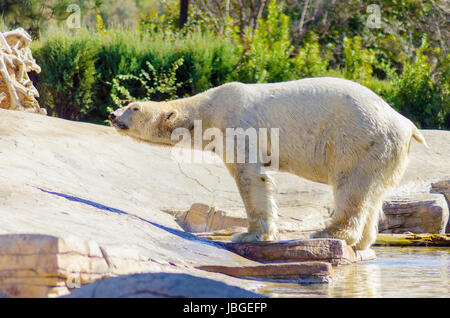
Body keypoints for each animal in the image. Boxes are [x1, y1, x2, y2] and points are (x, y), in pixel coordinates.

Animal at [108, 77, 426, 251]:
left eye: (134, 107)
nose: (112, 114)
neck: (210, 107)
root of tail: (406, 123)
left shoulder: (236, 124)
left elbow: (249, 176)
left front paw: (248, 234)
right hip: (383, 152)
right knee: (373, 193)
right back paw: (362, 242)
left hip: (359, 136)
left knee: (351, 185)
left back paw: (329, 232)